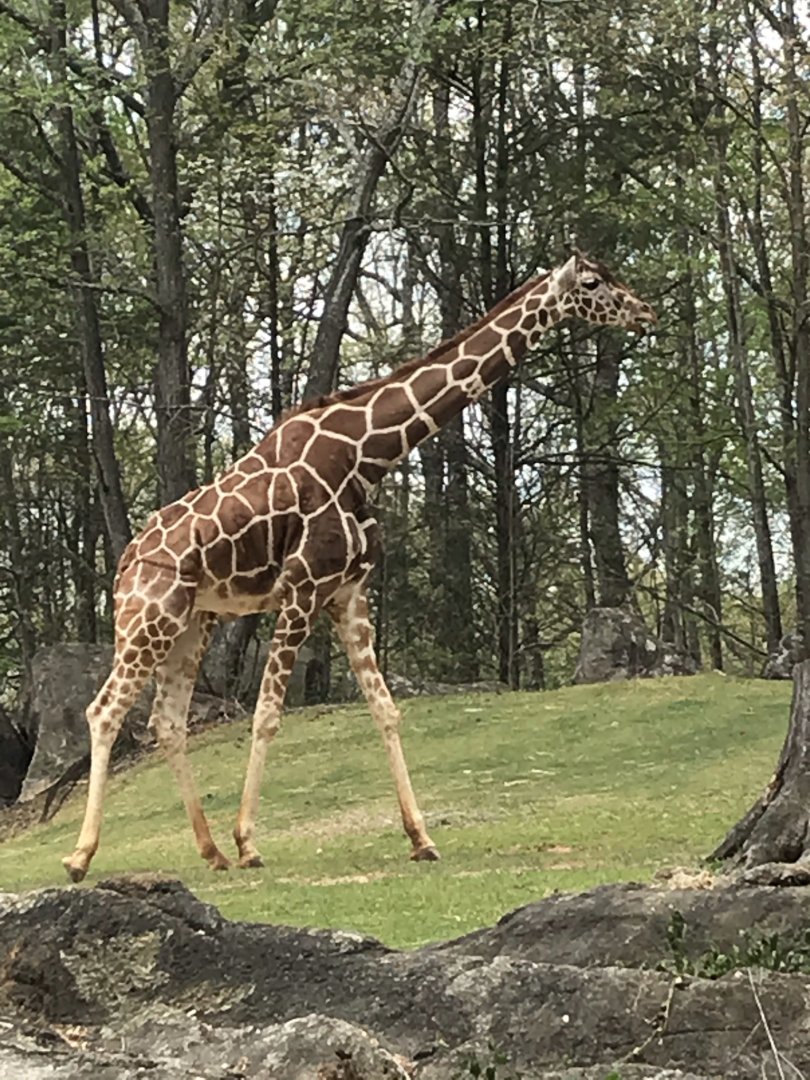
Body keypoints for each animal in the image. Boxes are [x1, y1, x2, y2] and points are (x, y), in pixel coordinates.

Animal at [62, 252, 656, 882]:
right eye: (593, 283)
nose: (646, 310)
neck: (367, 455)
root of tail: (124, 564)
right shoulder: (301, 589)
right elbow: (267, 714)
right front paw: (250, 841)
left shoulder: (348, 593)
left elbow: (386, 710)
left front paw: (421, 838)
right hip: (149, 617)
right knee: (104, 710)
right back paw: (83, 856)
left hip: (190, 624)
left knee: (167, 721)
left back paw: (210, 851)